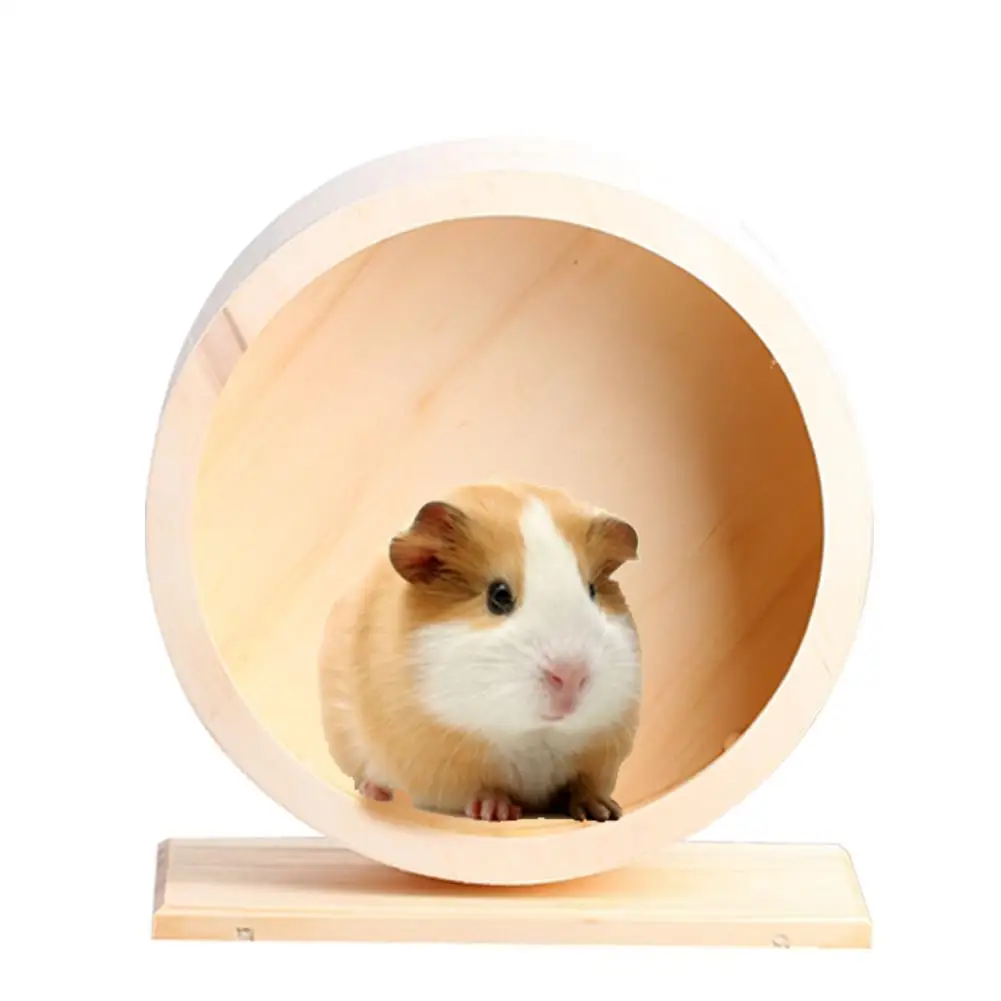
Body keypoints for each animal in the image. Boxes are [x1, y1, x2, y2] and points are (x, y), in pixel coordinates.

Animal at [318, 482, 641, 822]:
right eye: (498, 596)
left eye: (592, 591)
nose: (571, 675)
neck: (535, 733)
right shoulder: (444, 765)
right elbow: (481, 789)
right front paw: (497, 812)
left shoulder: (601, 752)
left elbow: (585, 784)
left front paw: (604, 812)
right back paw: (377, 793)